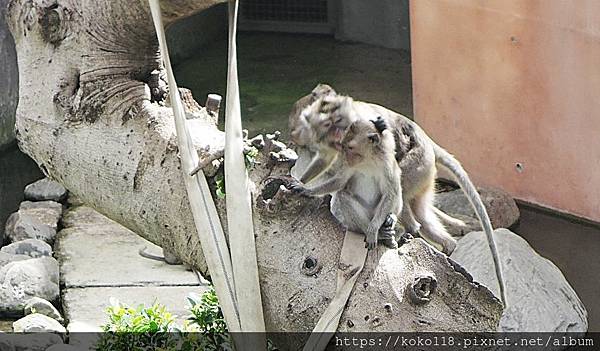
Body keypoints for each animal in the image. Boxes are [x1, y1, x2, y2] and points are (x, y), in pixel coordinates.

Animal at [288, 117, 404, 249]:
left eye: (351, 147)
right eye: (344, 146)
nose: (347, 157)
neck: (369, 158)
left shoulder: (387, 164)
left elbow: (391, 192)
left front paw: (374, 229)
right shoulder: (349, 163)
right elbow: (340, 181)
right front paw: (305, 189)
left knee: (396, 192)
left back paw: (389, 221)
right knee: (342, 197)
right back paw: (379, 233)